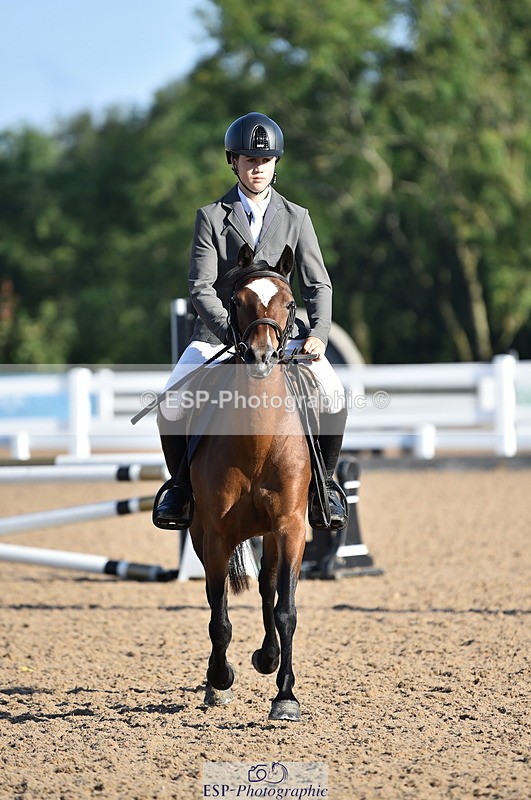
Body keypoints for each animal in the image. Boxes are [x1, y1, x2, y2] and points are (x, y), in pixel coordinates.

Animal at [188, 243, 313, 721]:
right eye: (237, 302)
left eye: (290, 303)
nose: (262, 358)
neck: (257, 438)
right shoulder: (215, 534)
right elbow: (219, 615)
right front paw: (219, 679)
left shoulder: (291, 527)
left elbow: (286, 609)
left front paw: (286, 695)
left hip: (273, 533)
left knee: (267, 587)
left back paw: (268, 657)